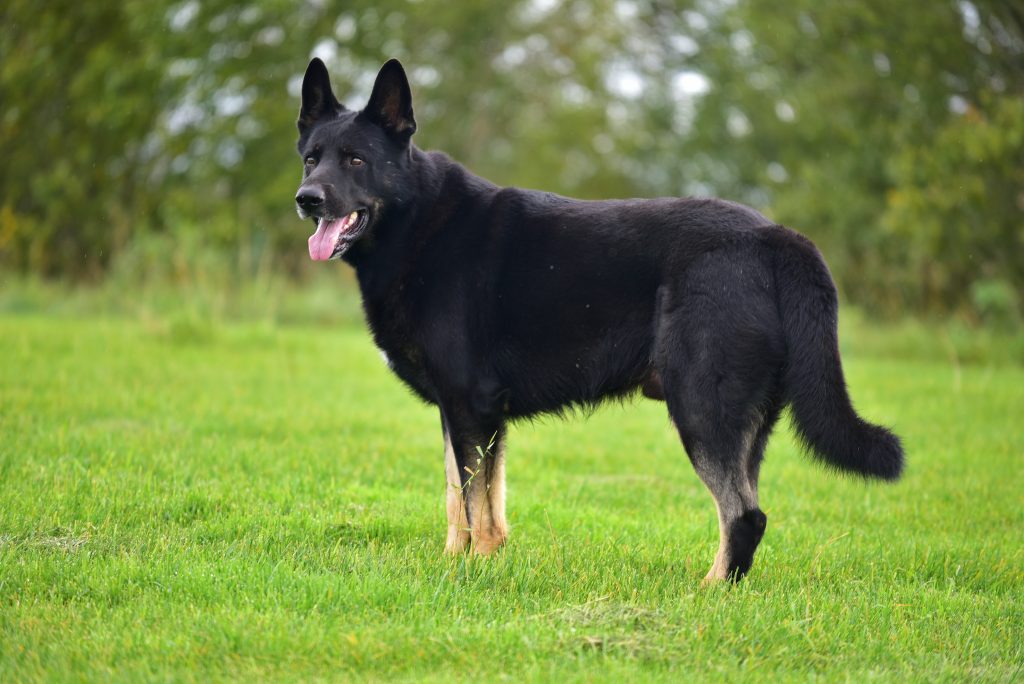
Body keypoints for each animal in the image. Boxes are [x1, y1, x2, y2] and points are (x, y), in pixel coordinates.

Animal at [292, 60, 901, 581]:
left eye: (356, 159)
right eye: (311, 158)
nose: (306, 199)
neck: (417, 224)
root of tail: (778, 237)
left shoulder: (472, 408)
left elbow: (477, 504)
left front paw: (476, 573)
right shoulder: (460, 412)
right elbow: (461, 500)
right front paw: (457, 562)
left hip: (702, 410)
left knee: (743, 515)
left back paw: (708, 592)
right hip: (743, 422)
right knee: (746, 510)